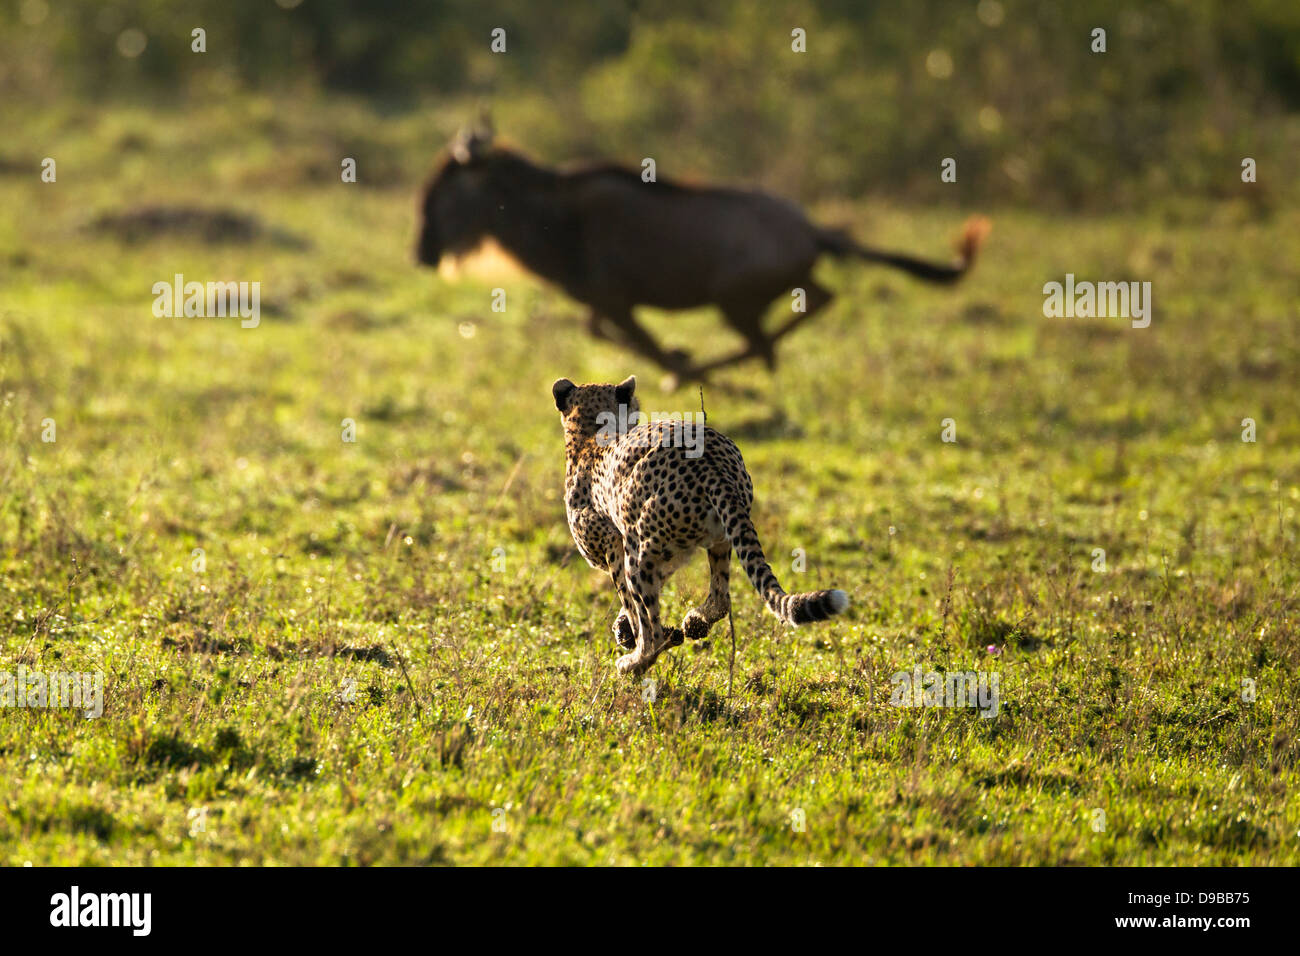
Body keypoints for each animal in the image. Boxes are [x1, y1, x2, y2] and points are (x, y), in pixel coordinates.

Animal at [551, 377, 847, 676]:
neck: (590, 433)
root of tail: (710, 462)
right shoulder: (670, 555)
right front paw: (624, 628)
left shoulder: (613, 541)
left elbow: (629, 600)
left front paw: (628, 633)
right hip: (720, 538)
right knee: (721, 598)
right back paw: (694, 623)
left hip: (639, 552)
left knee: (653, 632)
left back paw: (634, 662)